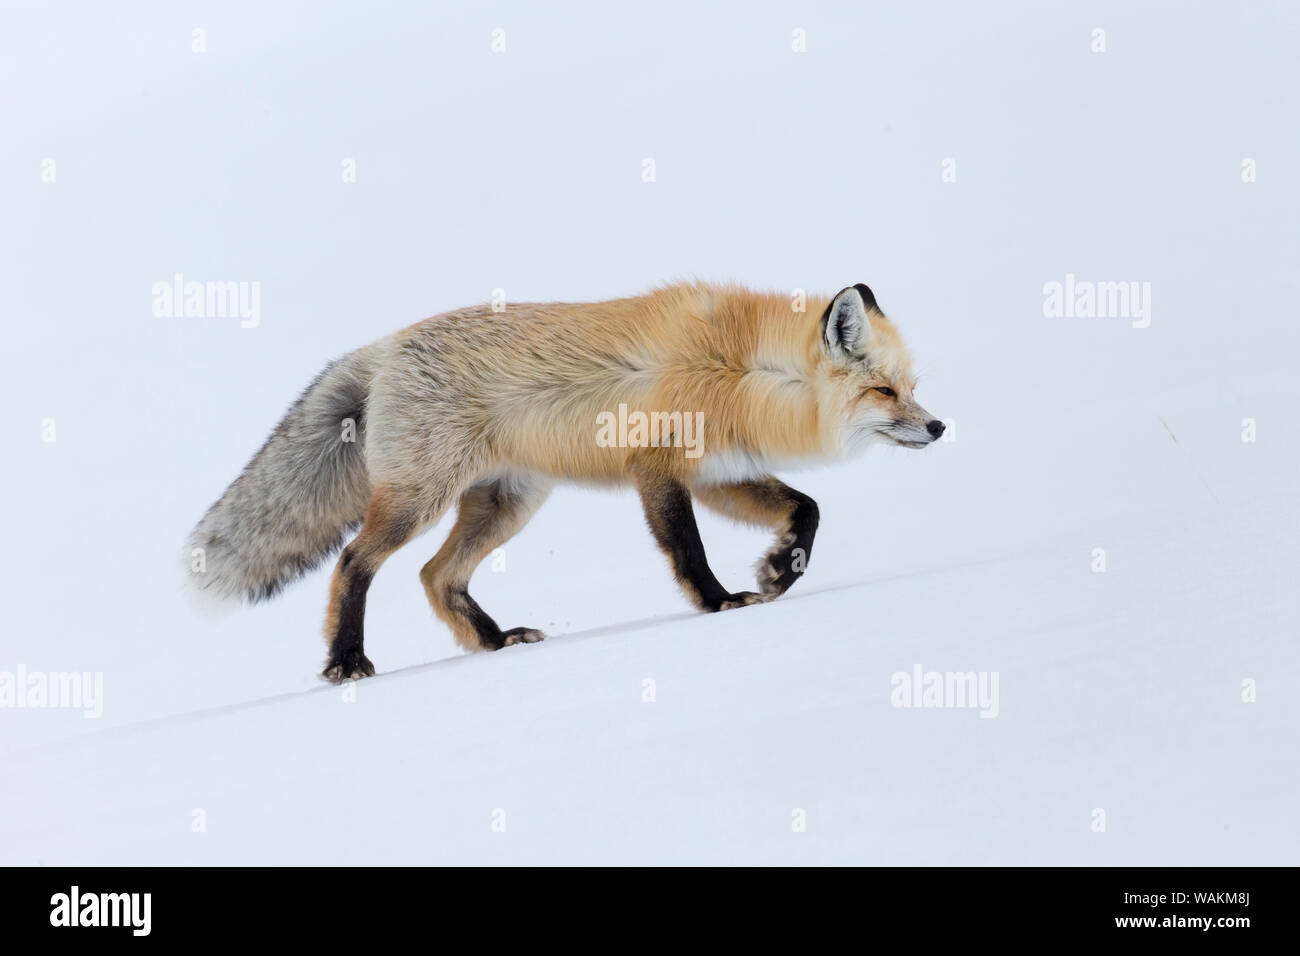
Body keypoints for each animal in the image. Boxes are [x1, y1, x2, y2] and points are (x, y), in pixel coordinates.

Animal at [188, 282, 944, 682]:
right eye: (884, 392)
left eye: (911, 388)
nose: (939, 428)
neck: (744, 372)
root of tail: (381, 348)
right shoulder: (657, 470)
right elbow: (688, 551)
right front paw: (722, 602)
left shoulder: (717, 473)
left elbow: (807, 510)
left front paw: (778, 572)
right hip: (420, 502)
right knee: (352, 563)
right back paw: (347, 659)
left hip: (507, 507)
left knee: (435, 577)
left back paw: (494, 642)